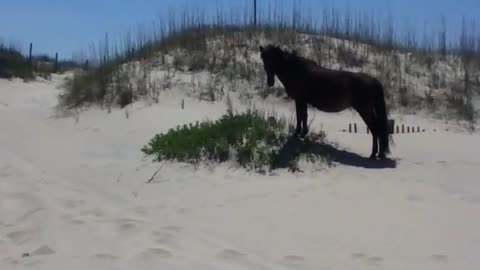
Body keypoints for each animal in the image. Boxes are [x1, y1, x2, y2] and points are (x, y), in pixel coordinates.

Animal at [260, 44, 392, 158]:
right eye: (264, 59)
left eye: (274, 59)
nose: (270, 82)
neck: (295, 70)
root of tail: (374, 81)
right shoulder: (303, 101)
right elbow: (304, 116)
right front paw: (304, 133)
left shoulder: (299, 100)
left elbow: (299, 116)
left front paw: (297, 134)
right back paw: (379, 154)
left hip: (365, 110)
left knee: (375, 129)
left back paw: (373, 154)